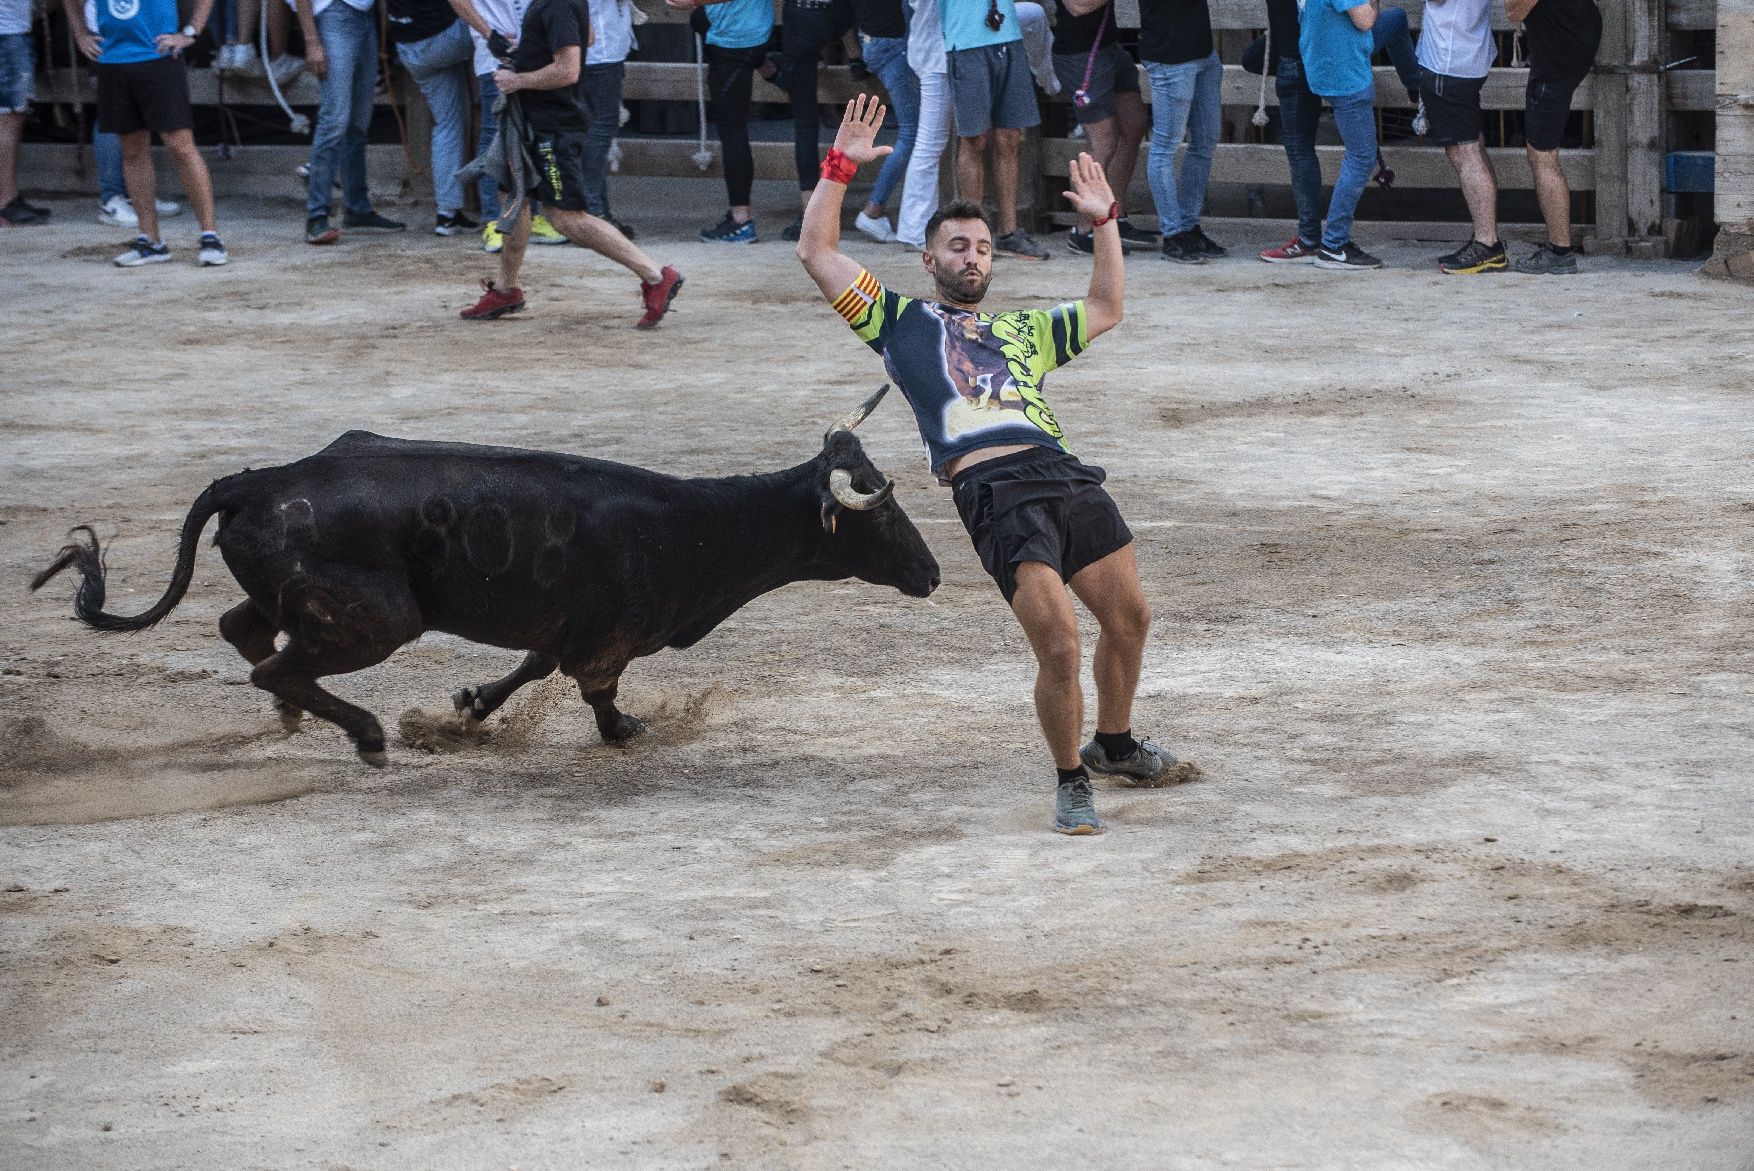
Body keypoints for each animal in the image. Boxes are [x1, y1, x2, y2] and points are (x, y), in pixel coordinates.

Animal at [27, 389, 940, 764]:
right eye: (882, 509)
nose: (932, 572)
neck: (699, 525)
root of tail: (254, 480)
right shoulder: (606, 639)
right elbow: (596, 690)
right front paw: (624, 729)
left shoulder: (566, 627)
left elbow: (533, 667)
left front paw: (467, 709)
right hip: (378, 619)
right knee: (273, 658)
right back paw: (363, 735)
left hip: (306, 600)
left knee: (246, 631)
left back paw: (295, 716)